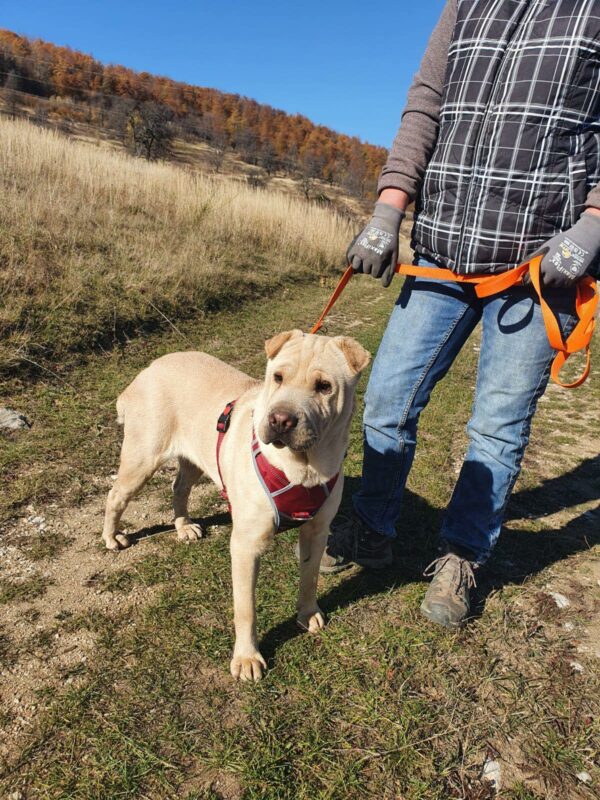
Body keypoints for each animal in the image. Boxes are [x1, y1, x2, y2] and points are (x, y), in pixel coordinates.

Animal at [102, 328, 370, 680]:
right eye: (277, 377)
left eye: (324, 386)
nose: (281, 420)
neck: (304, 468)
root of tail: (146, 370)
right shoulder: (246, 545)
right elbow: (246, 608)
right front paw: (246, 658)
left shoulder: (317, 530)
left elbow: (310, 578)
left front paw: (308, 613)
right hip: (142, 458)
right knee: (115, 495)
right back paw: (111, 537)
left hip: (194, 457)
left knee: (179, 487)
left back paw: (183, 526)